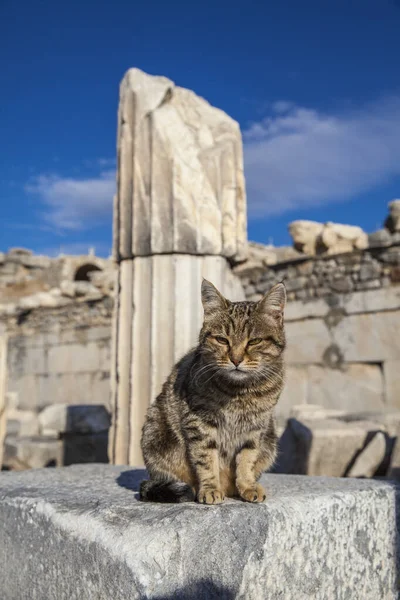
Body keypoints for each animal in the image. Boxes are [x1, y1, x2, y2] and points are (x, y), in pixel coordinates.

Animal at [139, 278, 286, 504]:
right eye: (222, 340)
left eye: (254, 341)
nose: (236, 359)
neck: (239, 392)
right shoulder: (199, 422)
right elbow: (206, 458)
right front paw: (210, 488)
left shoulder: (256, 427)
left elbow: (247, 459)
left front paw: (247, 486)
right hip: (154, 431)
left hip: (270, 439)